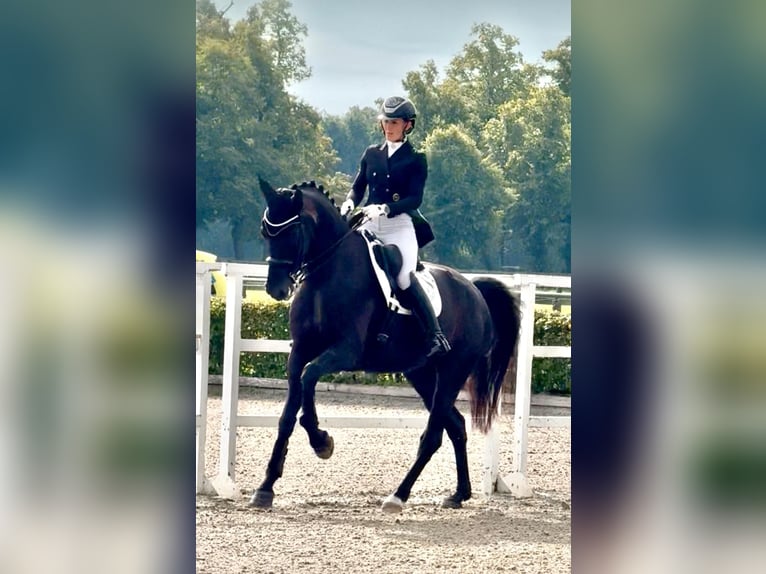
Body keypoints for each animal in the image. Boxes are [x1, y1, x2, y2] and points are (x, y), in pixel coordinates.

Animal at [251, 178, 521, 513]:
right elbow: (288, 414)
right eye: (266, 232)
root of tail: (474, 290)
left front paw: (321, 441)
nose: (276, 289)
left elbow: (310, 377)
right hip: (421, 374)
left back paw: (398, 495)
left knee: (433, 436)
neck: (327, 274)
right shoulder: (299, 351)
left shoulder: (345, 352)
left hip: (452, 372)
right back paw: (458, 494)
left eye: (292, 232)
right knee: (456, 425)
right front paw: (265, 488)